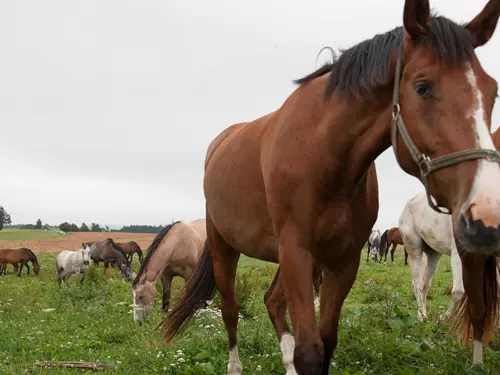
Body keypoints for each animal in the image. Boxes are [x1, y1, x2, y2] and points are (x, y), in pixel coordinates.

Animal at [398, 192, 464, 324]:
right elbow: (458, 292)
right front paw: (442, 318)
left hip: (433, 255)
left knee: (425, 284)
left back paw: (423, 314)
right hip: (414, 251)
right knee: (418, 284)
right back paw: (422, 317)